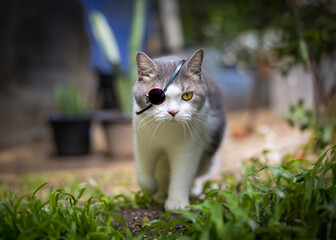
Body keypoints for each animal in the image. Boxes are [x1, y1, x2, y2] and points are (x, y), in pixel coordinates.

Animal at [132, 48, 226, 210]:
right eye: (157, 97)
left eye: (187, 95)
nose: (173, 111)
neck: (166, 133)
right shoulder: (143, 144)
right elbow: (144, 177)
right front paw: (153, 188)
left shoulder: (188, 149)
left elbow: (182, 175)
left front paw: (176, 202)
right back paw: (161, 193)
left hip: (207, 161)